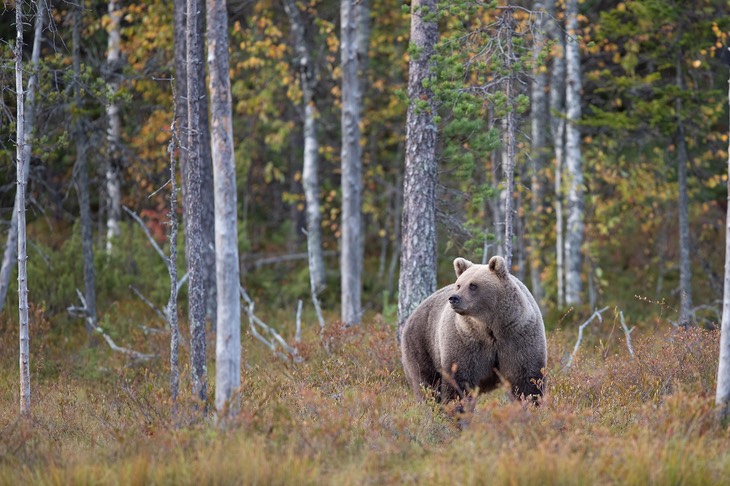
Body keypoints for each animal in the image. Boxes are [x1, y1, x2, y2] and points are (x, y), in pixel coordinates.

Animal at [398, 254, 544, 402]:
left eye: (473, 285)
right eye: (458, 284)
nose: (454, 298)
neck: (490, 326)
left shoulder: (517, 336)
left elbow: (526, 378)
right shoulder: (466, 340)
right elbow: (460, 380)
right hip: (422, 342)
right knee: (426, 381)